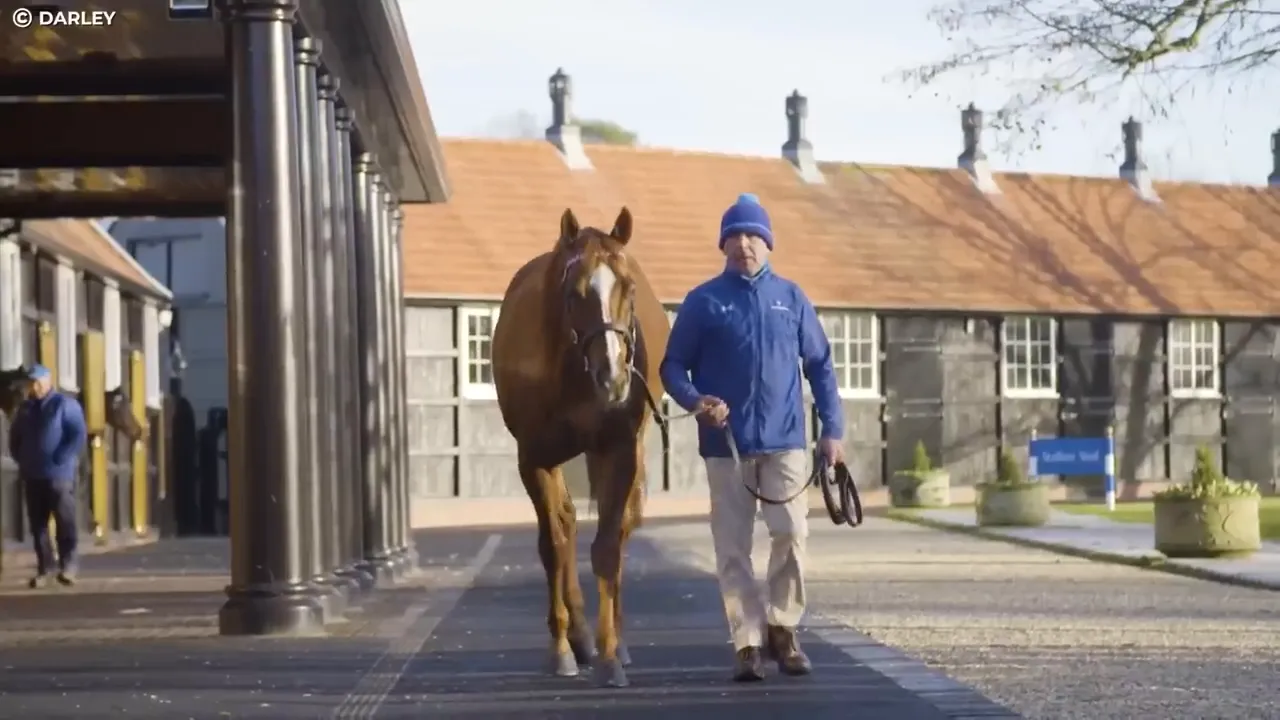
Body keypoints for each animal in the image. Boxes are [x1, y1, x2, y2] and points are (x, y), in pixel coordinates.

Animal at [492, 207, 669, 688]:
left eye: (629, 288)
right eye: (574, 293)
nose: (613, 378)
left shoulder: (619, 450)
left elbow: (607, 546)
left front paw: (611, 655)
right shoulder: (534, 459)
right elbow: (554, 544)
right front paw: (561, 650)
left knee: (619, 529)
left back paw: (613, 641)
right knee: (567, 524)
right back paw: (578, 636)